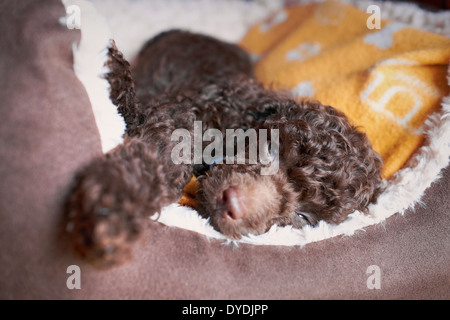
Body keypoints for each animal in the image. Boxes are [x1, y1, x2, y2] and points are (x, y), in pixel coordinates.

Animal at [67, 30, 384, 266]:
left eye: (303, 217)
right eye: (271, 148)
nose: (233, 205)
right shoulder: (186, 110)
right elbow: (159, 147)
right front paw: (112, 201)